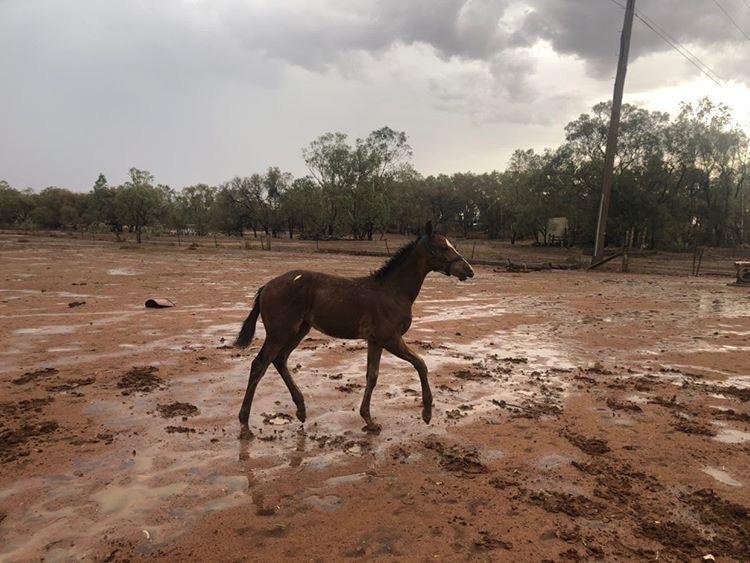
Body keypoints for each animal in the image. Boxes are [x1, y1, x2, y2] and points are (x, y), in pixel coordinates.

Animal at [235, 221, 476, 432]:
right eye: (442, 247)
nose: (469, 270)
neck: (393, 291)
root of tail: (267, 286)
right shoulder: (390, 339)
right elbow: (421, 364)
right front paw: (426, 413)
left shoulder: (375, 341)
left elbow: (372, 375)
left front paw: (369, 420)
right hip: (279, 333)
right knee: (259, 365)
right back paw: (245, 422)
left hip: (299, 330)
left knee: (280, 360)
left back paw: (301, 409)